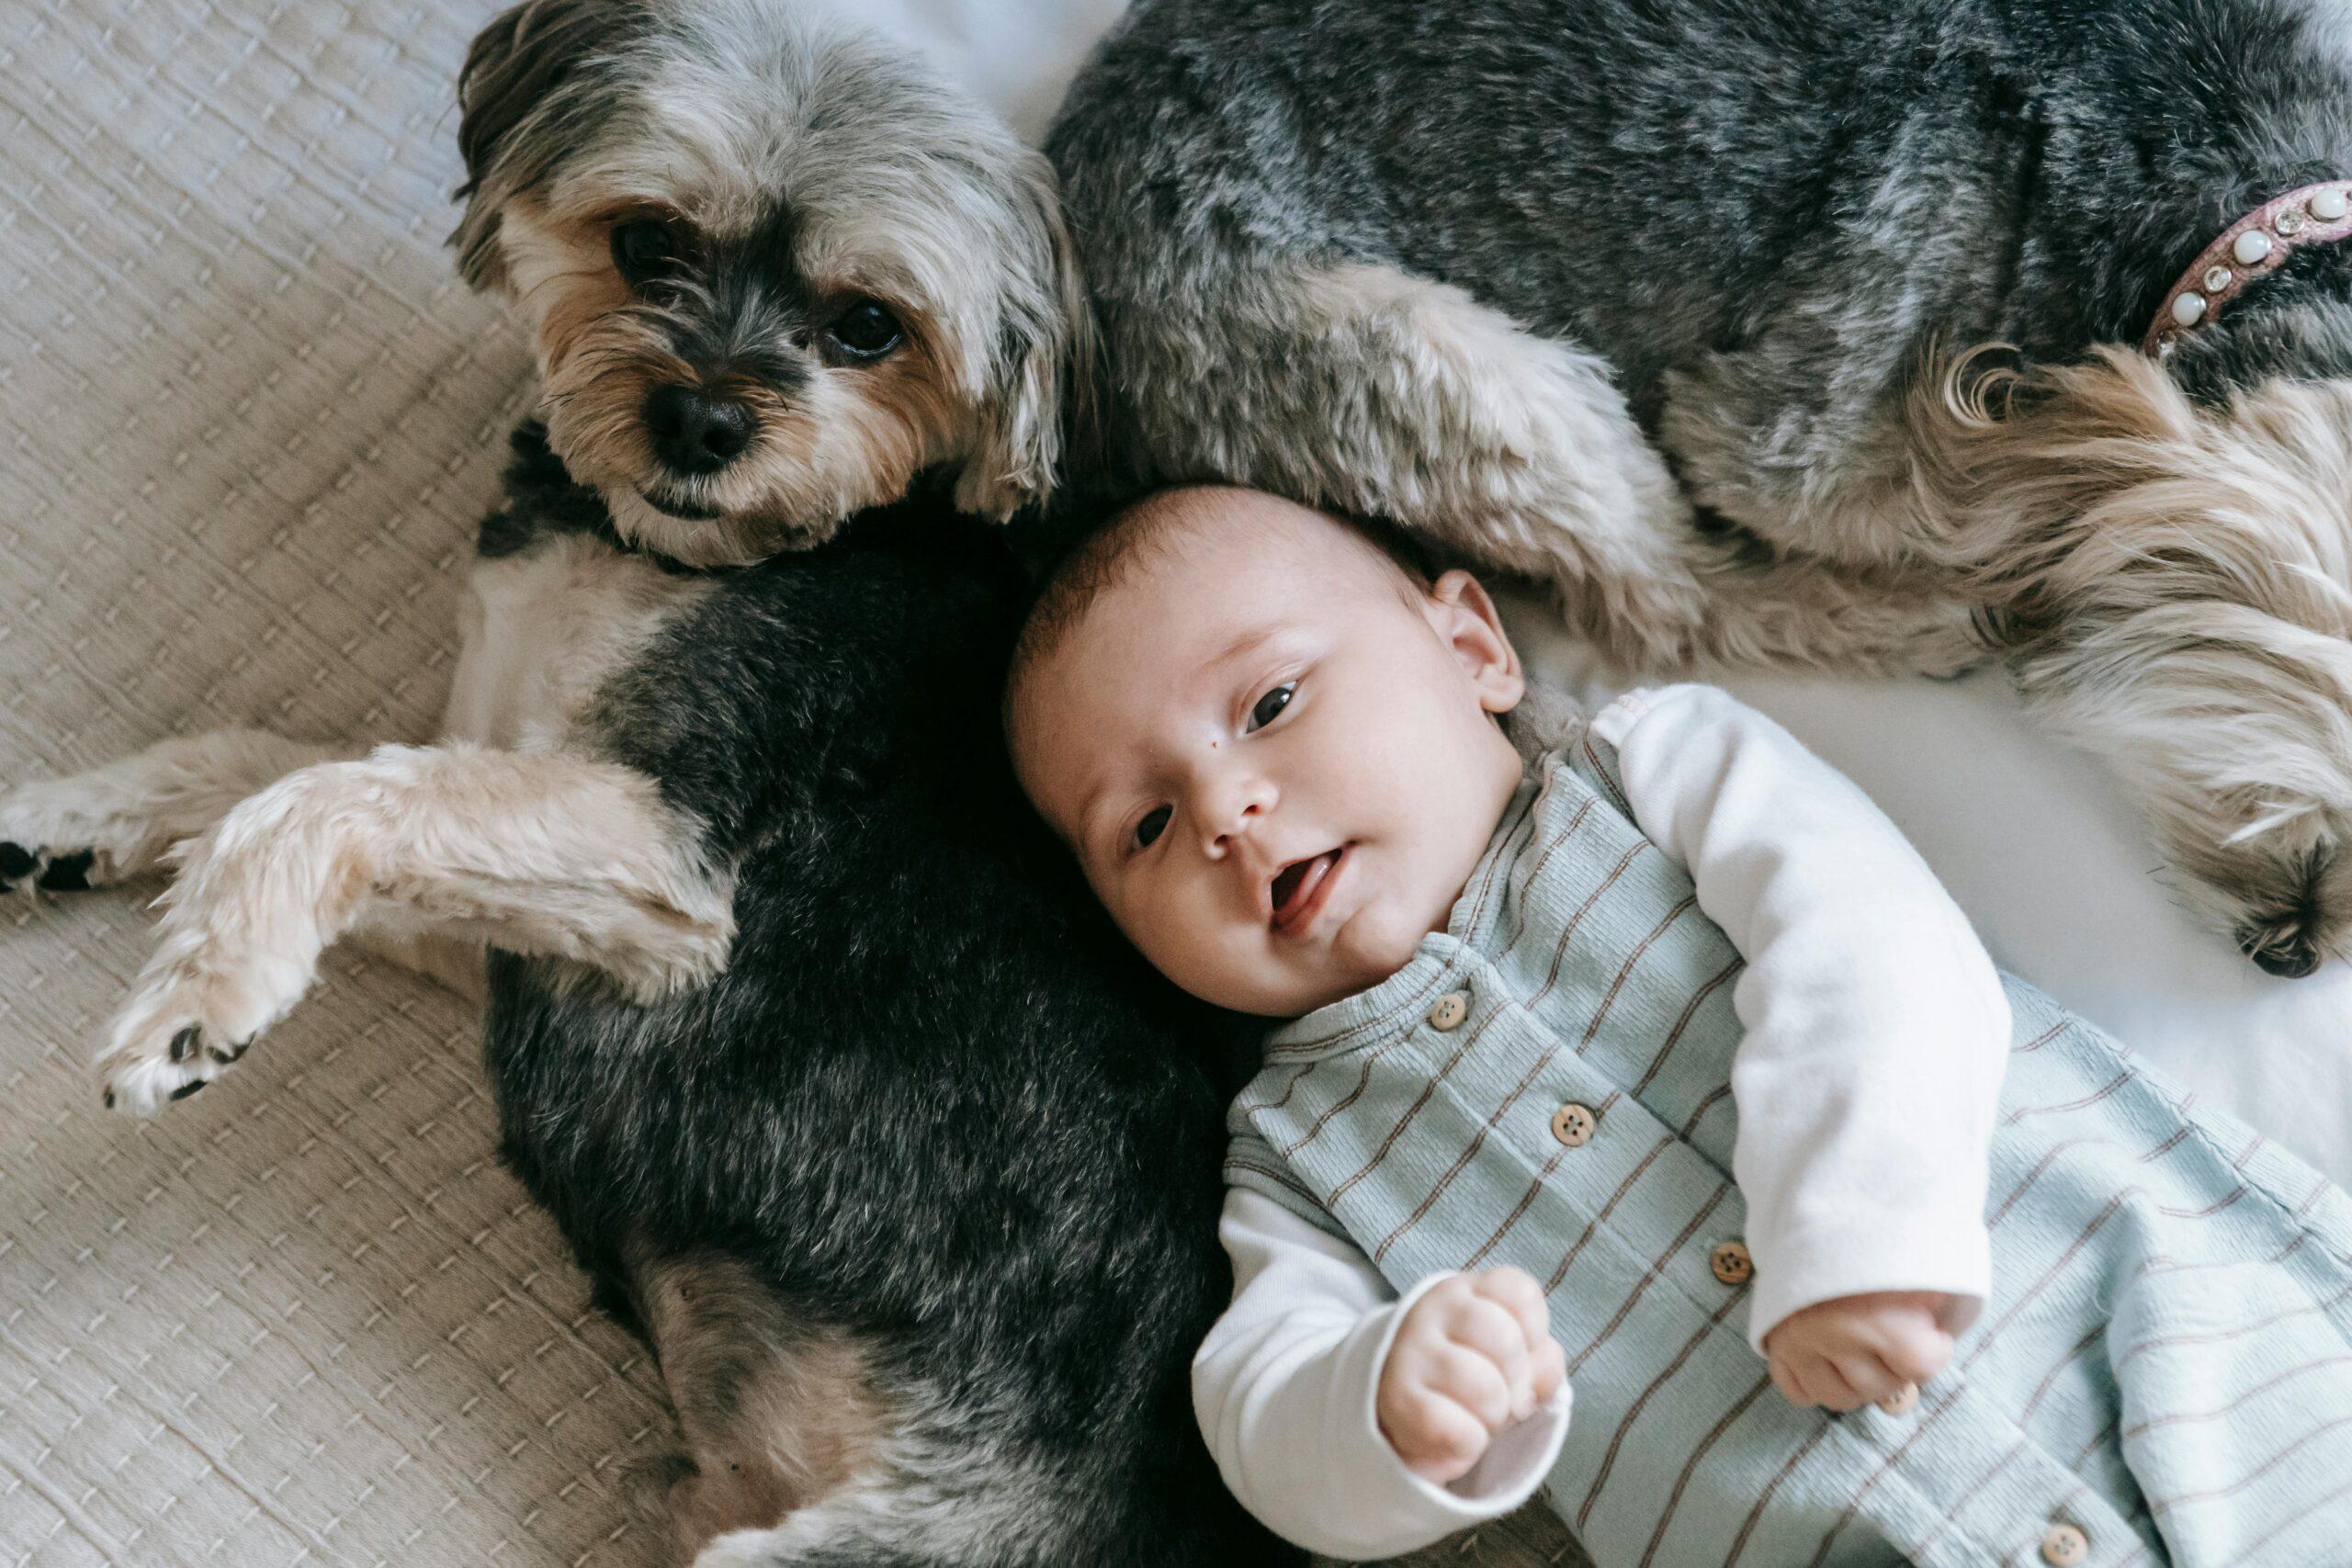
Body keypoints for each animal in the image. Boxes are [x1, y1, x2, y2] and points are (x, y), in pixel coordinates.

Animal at [0, 0, 1298, 1561]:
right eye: (647, 242)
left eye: (869, 325)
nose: (699, 423)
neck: (669, 550)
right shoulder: (499, 881)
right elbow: (271, 762)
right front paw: (62, 825)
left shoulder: (662, 864)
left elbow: (331, 793)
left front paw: (199, 999)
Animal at [1048, 0, 2352, 982]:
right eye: (2268, 790)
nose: (2297, 954)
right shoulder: (1780, 433)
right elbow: (1957, 509)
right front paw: (2016, 569)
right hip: (1441, 369)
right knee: (1674, 595)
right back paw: (1915, 621)